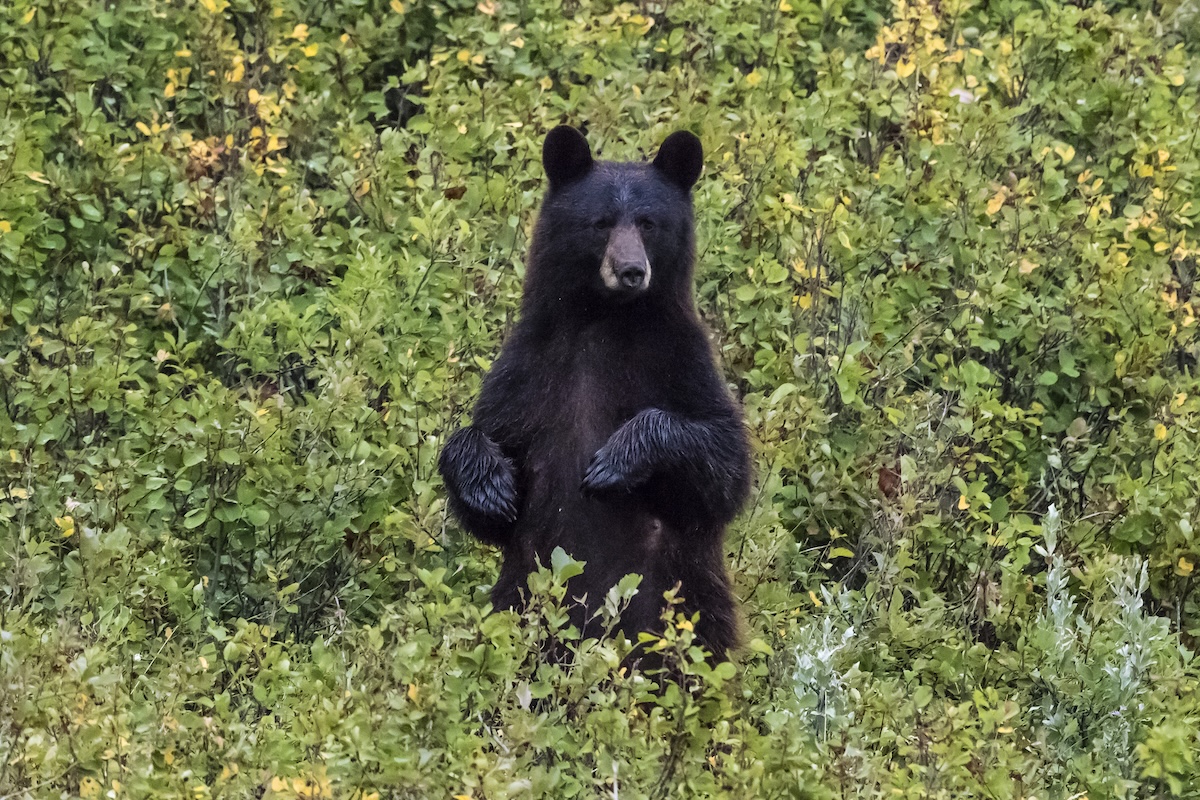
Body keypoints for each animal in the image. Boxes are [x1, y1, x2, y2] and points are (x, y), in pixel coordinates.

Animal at [438, 125, 752, 660]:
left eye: (648, 223)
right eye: (600, 222)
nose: (631, 270)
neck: (606, 320)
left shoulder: (681, 361)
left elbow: (724, 464)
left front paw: (614, 461)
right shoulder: (531, 368)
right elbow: (489, 447)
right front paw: (490, 485)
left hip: (682, 607)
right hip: (518, 599)